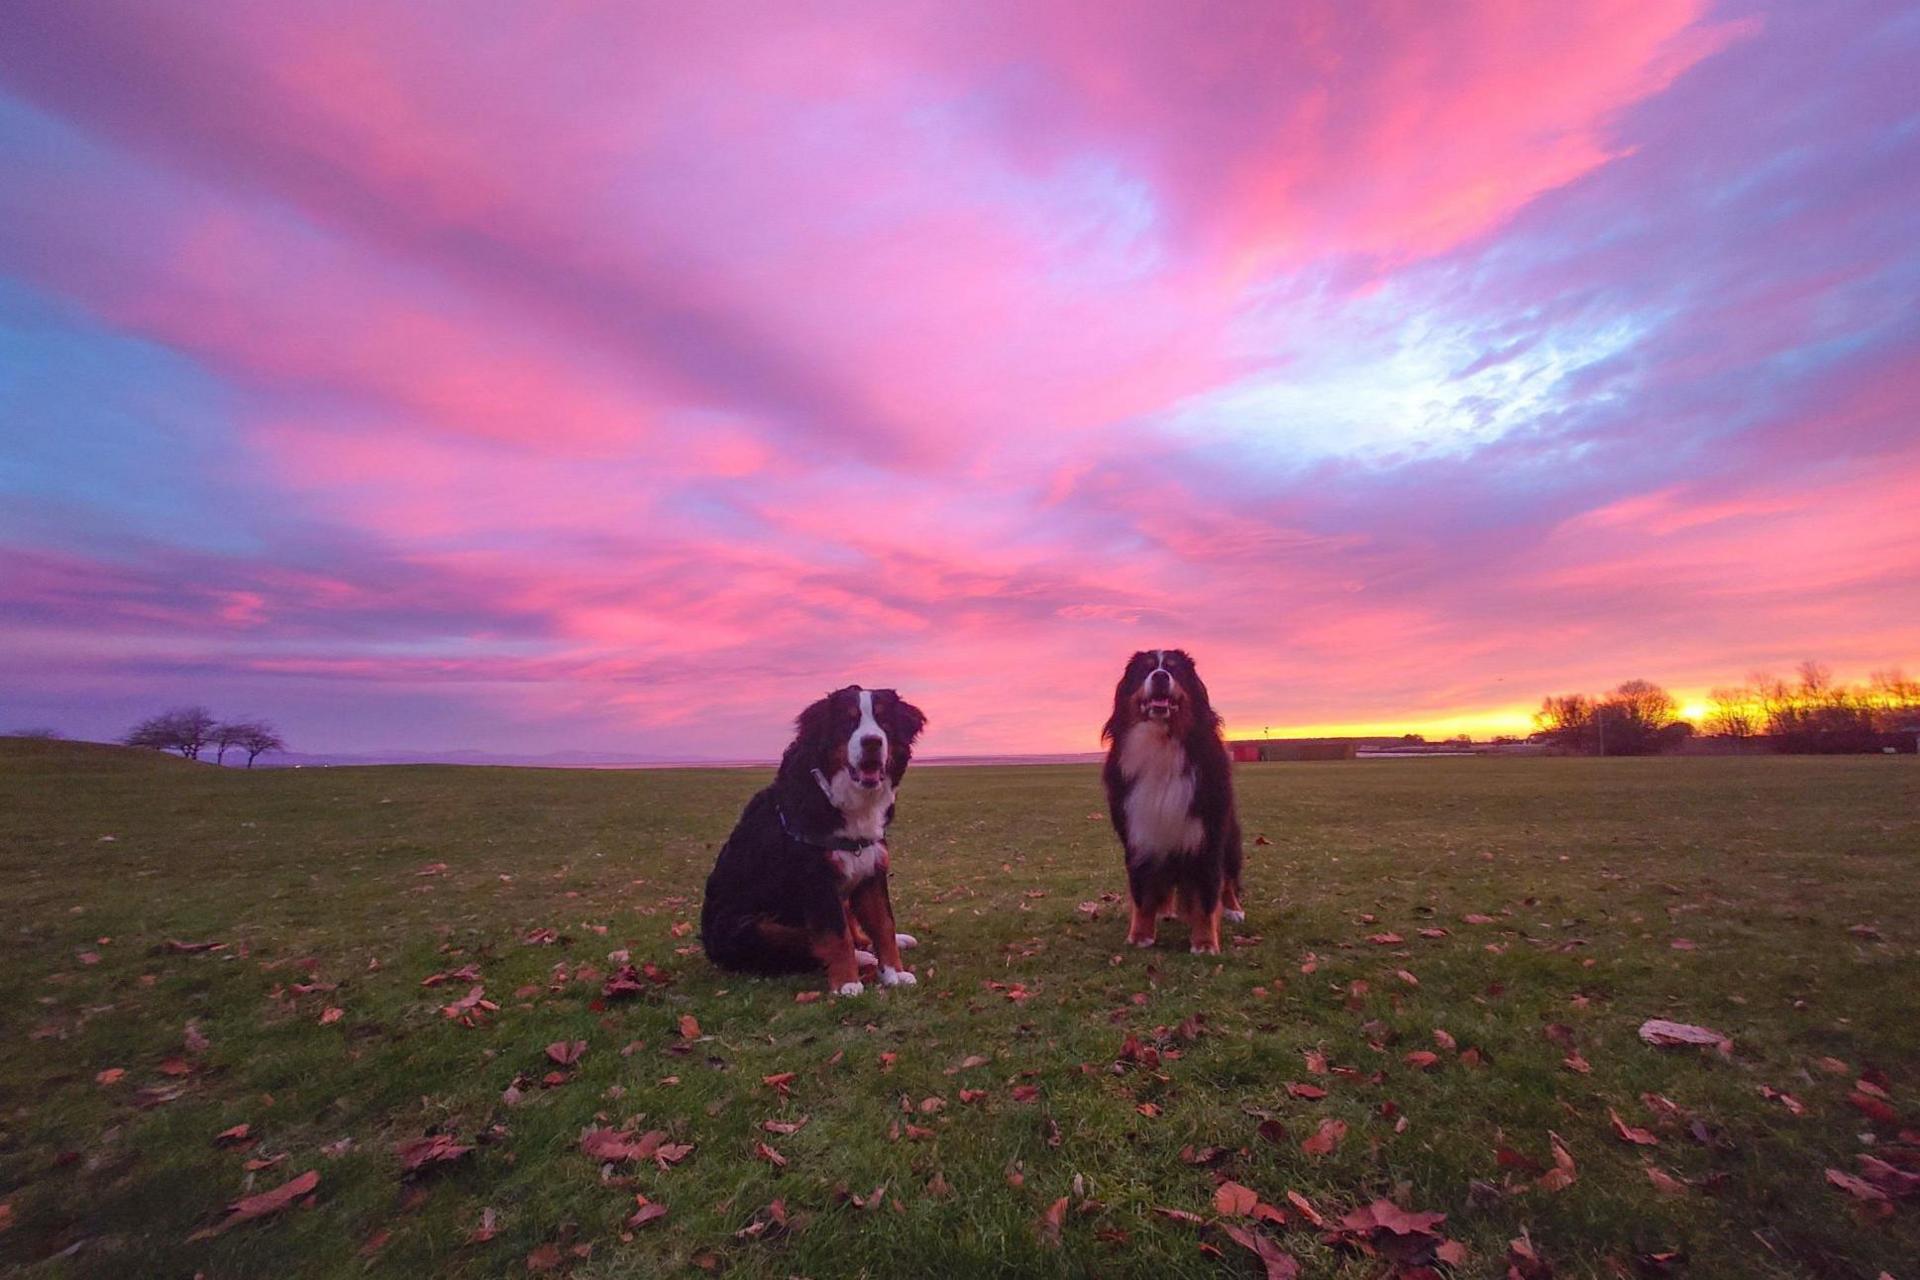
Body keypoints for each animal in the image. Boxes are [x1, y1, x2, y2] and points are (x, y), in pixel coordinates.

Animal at [702, 687, 925, 997]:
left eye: (884, 722)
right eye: (848, 722)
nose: (871, 741)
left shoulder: (871, 869)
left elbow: (883, 926)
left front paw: (895, 973)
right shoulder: (818, 880)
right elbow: (836, 935)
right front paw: (847, 984)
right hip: (749, 927)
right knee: (802, 945)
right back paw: (862, 958)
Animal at [1098, 652, 1244, 951]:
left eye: (1174, 670)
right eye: (1145, 670)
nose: (1160, 676)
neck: (1162, 741)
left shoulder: (1206, 836)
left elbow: (1207, 894)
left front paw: (1205, 943)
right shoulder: (1140, 835)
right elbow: (1142, 893)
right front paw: (1140, 935)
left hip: (1230, 838)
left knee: (1228, 878)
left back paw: (1233, 909)